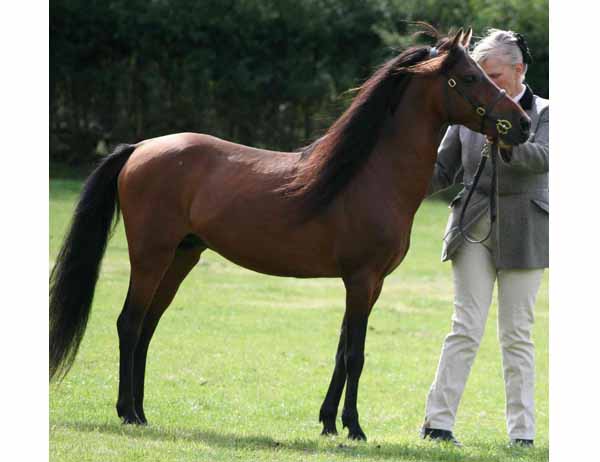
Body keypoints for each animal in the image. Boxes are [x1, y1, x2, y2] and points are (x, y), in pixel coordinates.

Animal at [50, 27, 528, 438]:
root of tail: (141, 148)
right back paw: (127, 412)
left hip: (181, 257)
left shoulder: (368, 284)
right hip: (151, 257)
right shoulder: (361, 279)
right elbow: (356, 354)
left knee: (148, 327)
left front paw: (329, 422)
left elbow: (341, 352)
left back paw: (141, 411)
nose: (521, 123)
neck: (369, 175)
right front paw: (355, 427)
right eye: (472, 77)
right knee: (129, 324)